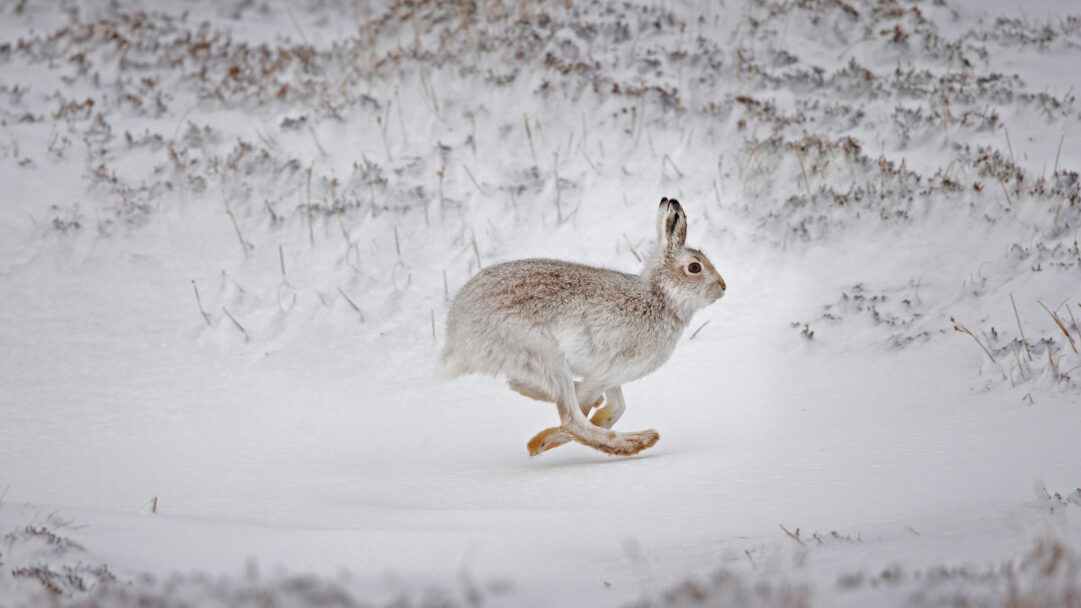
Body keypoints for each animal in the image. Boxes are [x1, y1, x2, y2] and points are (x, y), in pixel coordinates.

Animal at [440, 197, 726, 456]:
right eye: (694, 267)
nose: (723, 287)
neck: (660, 297)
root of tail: (458, 336)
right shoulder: (606, 371)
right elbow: (585, 412)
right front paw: (546, 440)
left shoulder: (612, 377)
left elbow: (618, 406)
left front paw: (598, 416)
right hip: (544, 357)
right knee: (571, 420)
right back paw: (635, 441)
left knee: (523, 387)